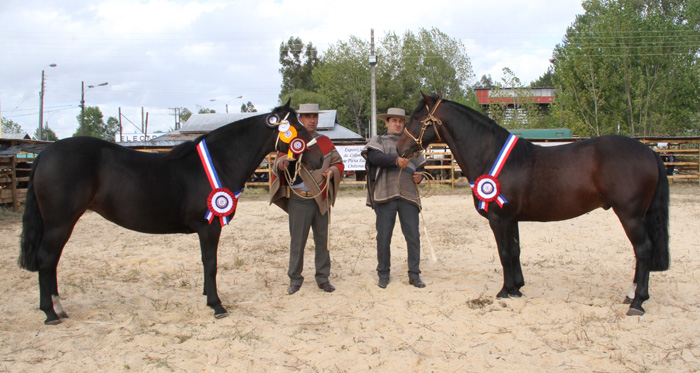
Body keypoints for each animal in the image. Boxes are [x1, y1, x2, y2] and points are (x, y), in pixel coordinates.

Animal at [19, 101, 324, 322]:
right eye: (297, 129)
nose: (319, 158)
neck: (219, 160)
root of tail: (45, 154)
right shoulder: (209, 227)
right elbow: (210, 263)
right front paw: (217, 305)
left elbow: (206, 264)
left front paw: (207, 297)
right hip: (59, 222)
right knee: (46, 260)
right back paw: (50, 313)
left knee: (52, 261)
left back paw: (58, 308)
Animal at [396, 92, 668, 314]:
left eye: (417, 118)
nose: (400, 149)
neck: (490, 155)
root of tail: (649, 151)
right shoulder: (512, 219)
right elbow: (515, 251)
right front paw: (517, 288)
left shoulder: (499, 219)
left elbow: (504, 252)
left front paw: (504, 290)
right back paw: (631, 296)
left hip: (630, 215)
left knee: (643, 250)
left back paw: (637, 302)